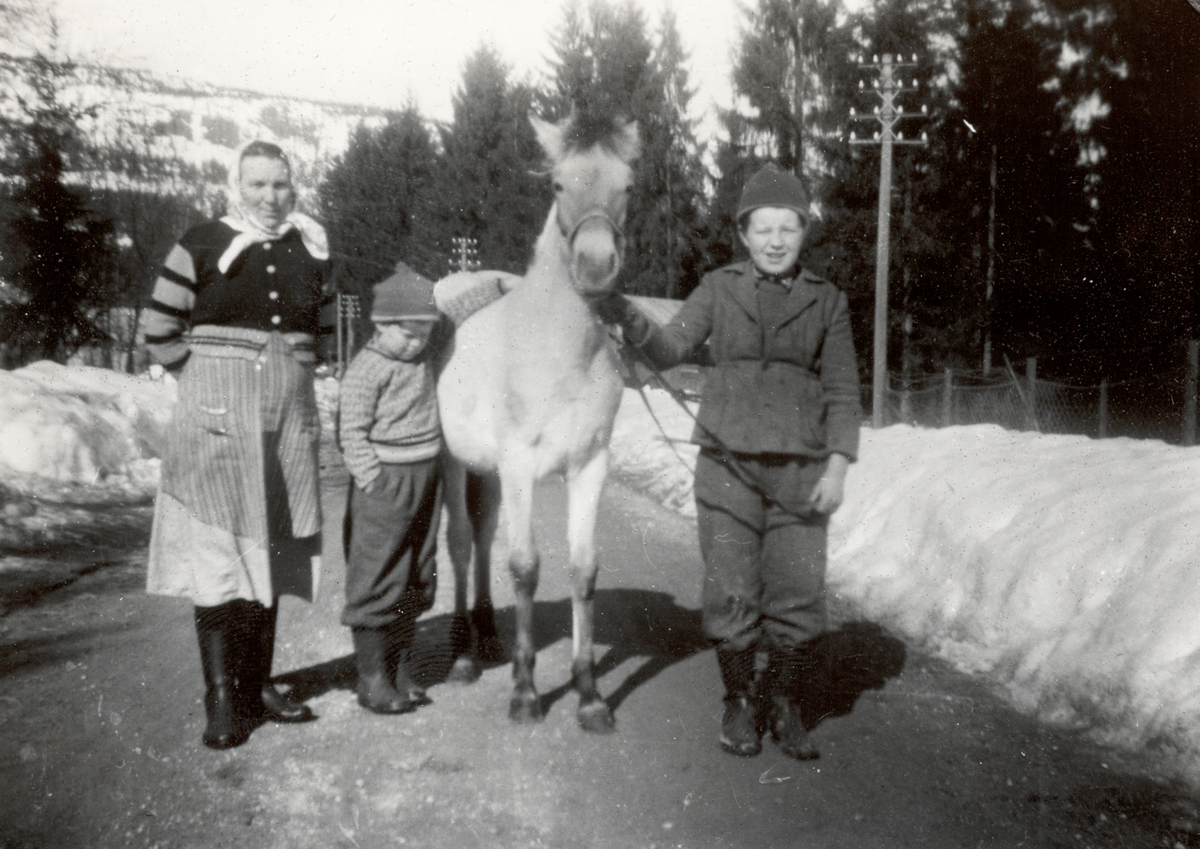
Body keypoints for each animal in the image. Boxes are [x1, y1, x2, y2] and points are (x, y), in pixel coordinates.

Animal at [432, 112, 638, 733]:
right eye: (558, 184)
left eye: (628, 186)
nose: (595, 266)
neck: (558, 347)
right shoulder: (521, 464)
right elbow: (524, 568)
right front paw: (525, 692)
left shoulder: (589, 465)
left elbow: (583, 570)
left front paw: (589, 694)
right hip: (456, 463)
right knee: (460, 543)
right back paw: (465, 655)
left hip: (492, 475)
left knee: (481, 539)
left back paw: (488, 637)